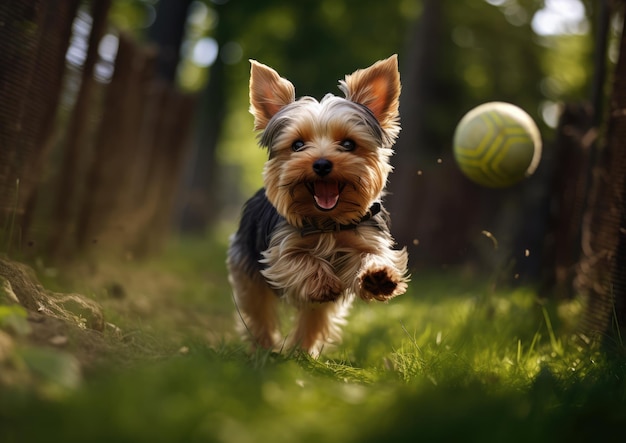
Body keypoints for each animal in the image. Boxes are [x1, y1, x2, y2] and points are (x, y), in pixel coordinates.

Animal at [227, 55, 408, 358]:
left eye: (348, 144)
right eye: (298, 145)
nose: (322, 164)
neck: (328, 222)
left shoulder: (366, 236)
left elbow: (373, 255)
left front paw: (378, 277)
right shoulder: (279, 251)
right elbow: (300, 258)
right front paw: (322, 281)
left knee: (314, 318)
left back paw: (301, 352)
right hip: (246, 266)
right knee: (258, 310)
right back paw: (265, 349)